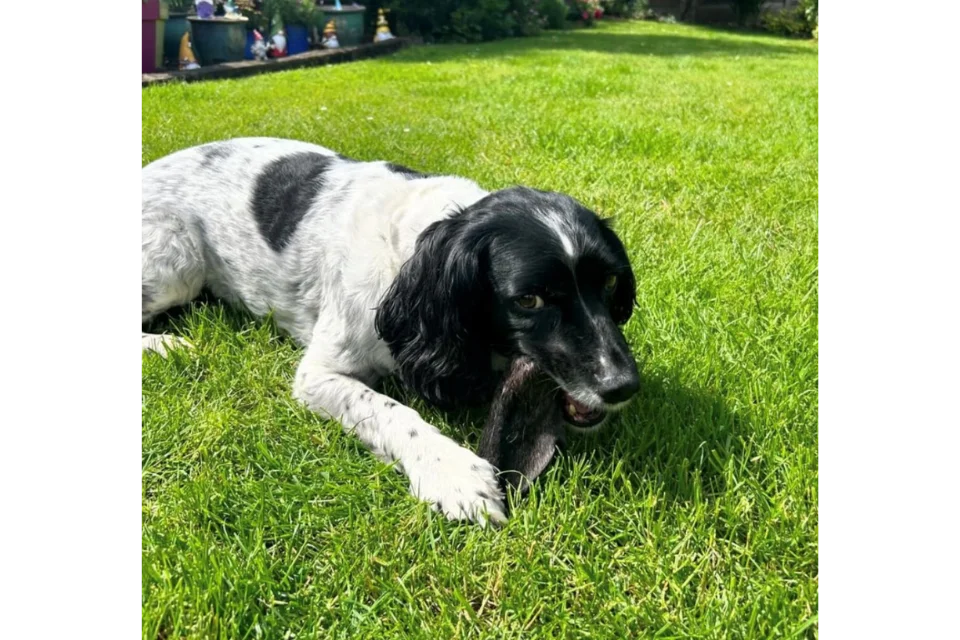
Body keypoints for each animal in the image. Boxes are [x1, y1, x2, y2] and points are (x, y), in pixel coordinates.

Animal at [135, 138, 640, 528]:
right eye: (529, 301)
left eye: (608, 283)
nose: (623, 386)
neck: (416, 254)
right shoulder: (320, 374)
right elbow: (393, 411)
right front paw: (453, 473)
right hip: (175, 263)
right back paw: (163, 346)